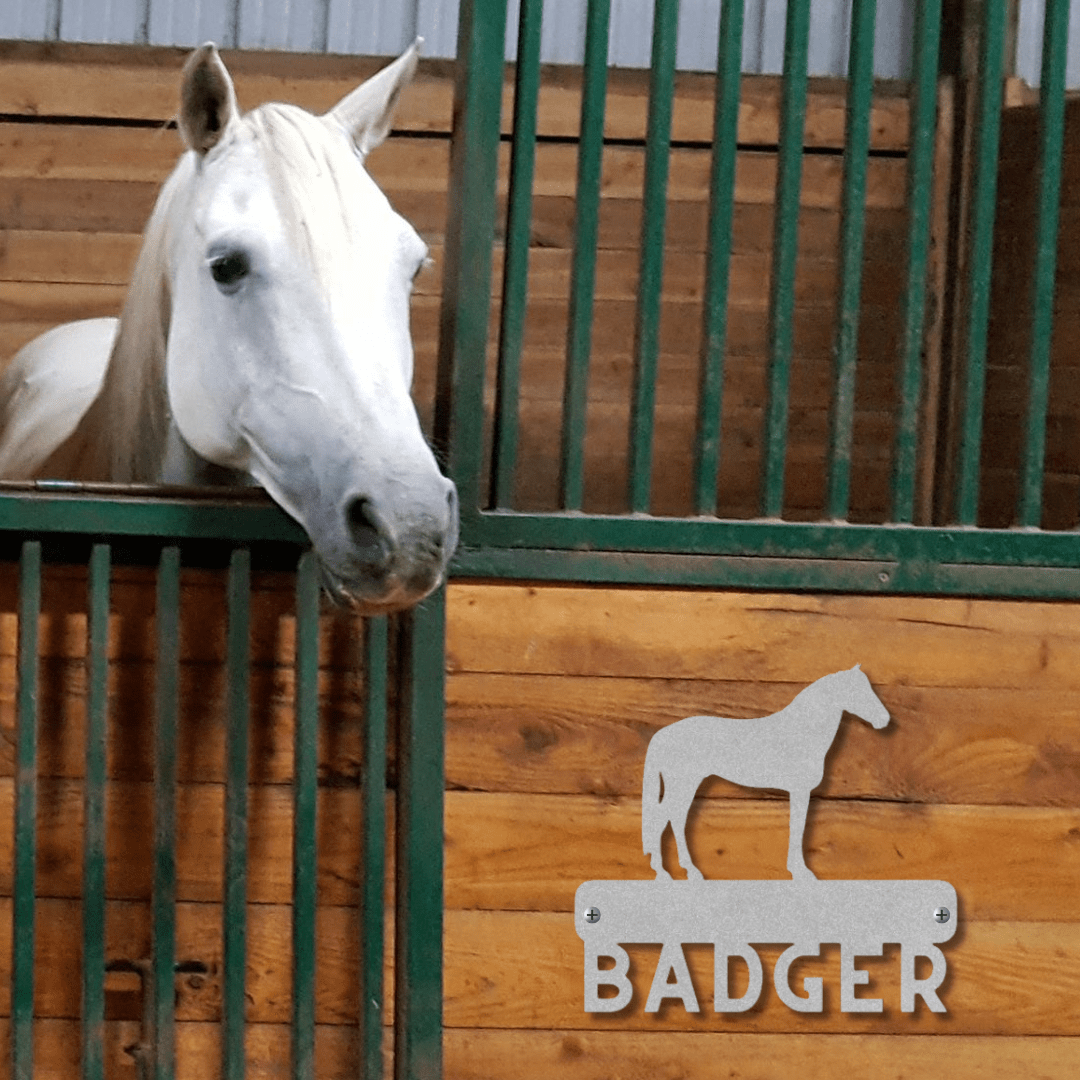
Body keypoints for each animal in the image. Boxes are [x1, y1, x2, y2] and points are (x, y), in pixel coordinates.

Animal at [639, 665, 885, 885]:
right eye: (857, 690)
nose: (885, 719)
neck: (801, 732)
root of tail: (662, 734)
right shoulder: (799, 790)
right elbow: (798, 826)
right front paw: (802, 872)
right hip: (684, 784)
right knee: (665, 818)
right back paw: (666, 873)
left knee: (674, 818)